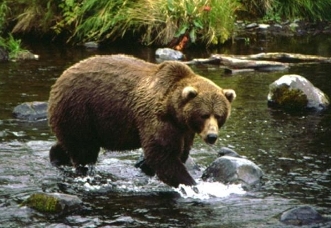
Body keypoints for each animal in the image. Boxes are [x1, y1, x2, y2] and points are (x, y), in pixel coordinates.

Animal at [48, 54, 236, 188]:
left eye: (219, 115)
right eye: (204, 114)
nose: (211, 136)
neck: (174, 112)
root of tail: (60, 78)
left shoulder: (184, 130)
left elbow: (180, 152)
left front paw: (146, 167)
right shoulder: (156, 118)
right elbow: (163, 155)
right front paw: (191, 183)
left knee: (71, 142)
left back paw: (57, 157)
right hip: (79, 108)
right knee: (84, 149)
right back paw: (83, 170)